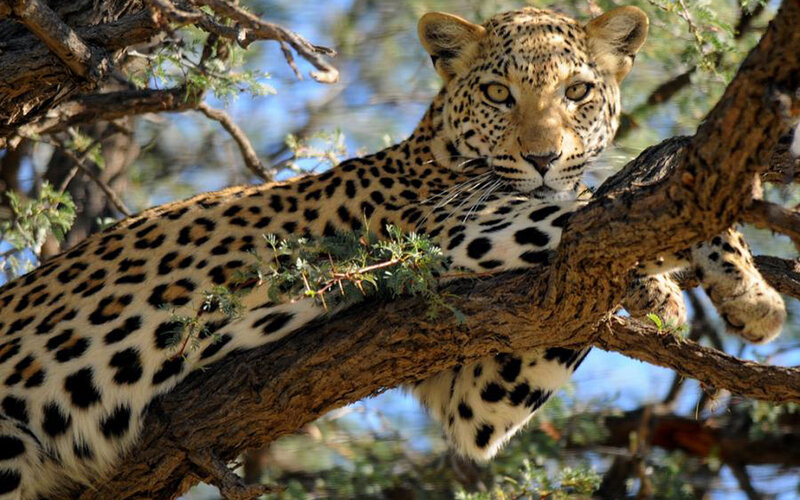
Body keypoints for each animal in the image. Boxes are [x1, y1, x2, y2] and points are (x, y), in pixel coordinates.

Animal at [0, 6, 785, 498]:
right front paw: (707, 290)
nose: (542, 156)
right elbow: (591, 209)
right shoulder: (452, 230)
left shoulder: (475, 395)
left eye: (578, 90)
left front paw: (717, 295)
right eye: (498, 93)